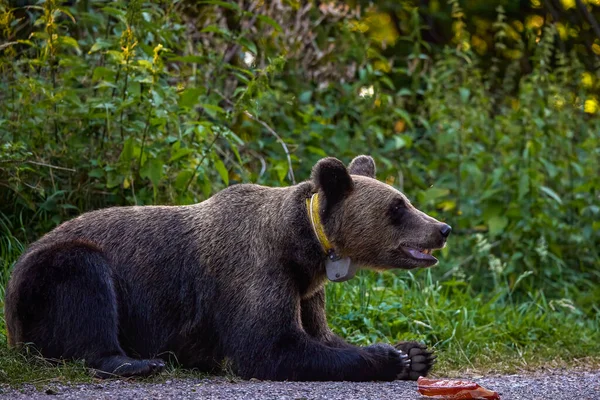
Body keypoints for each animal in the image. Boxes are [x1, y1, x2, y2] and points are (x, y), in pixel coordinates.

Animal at [3, 154, 450, 382]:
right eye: (398, 207)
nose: (442, 228)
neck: (302, 245)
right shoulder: (254, 271)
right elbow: (269, 347)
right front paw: (388, 357)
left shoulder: (306, 288)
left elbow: (320, 334)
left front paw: (415, 352)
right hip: (49, 277)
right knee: (85, 287)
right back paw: (135, 362)